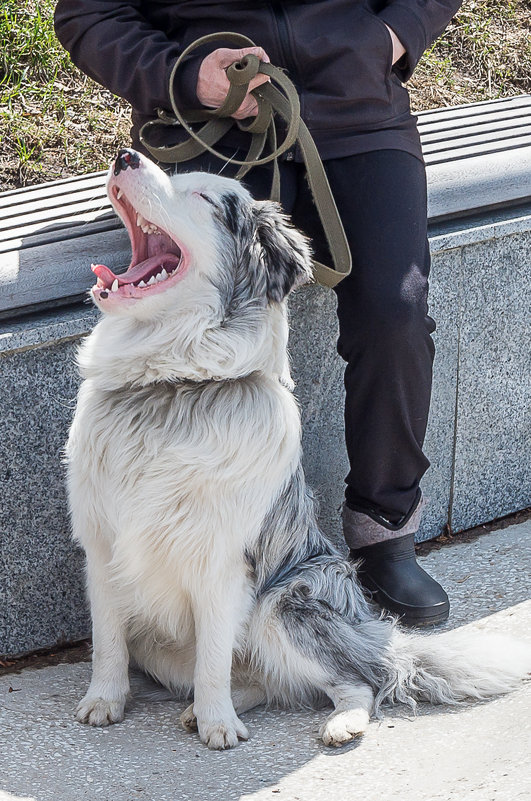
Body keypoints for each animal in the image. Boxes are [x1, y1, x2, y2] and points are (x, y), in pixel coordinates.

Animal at [64, 148, 528, 752]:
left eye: (203, 196)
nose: (125, 156)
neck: (171, 386)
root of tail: (366, 627)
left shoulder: (221, 561)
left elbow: (213, 657)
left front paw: (217, 726)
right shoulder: (102, 547)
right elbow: (109, 642)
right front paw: (104, 701)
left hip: (285, 604)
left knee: (360, 682)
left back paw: (335, 723)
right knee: (261, 682)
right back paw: (201, 710)